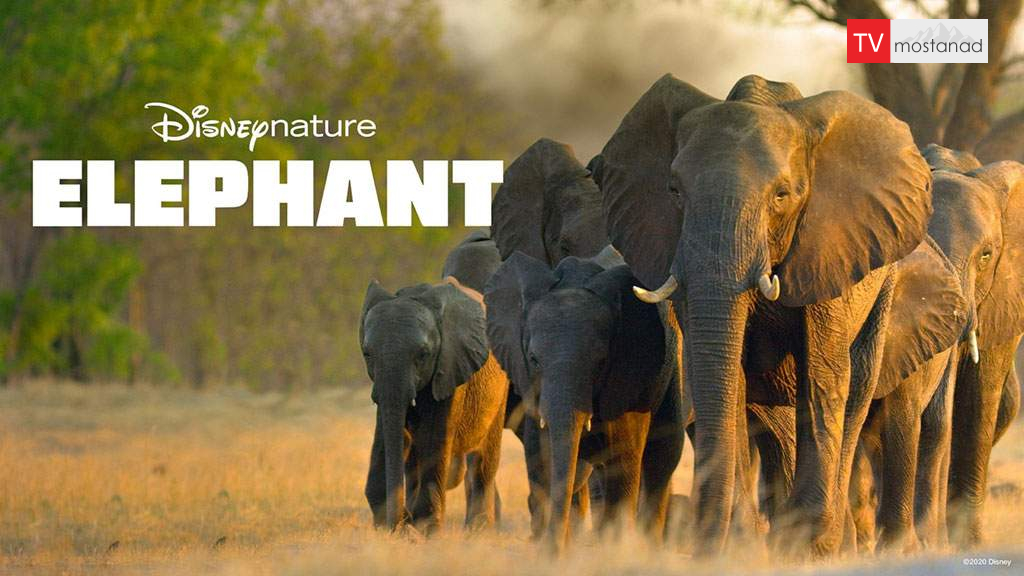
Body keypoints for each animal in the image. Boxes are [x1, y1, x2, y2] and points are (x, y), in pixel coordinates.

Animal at [361, 276, 509, 534]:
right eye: (367, 353)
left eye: (423, 354)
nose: (401, 522)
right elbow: (386, 437)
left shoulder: (450, 366)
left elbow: (433, 438)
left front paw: (425, 528)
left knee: (484, 458)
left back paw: (478, 530)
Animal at [484, 248, 685, 552]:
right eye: (533, 359)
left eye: (601, 362)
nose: (555, 550)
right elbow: (542, 456)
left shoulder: (631, 371)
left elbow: (623, 457)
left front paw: (612, 551)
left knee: (662, 456)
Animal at [596, 73, 934, 555]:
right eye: (674, 191)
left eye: (781, 195)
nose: (702, 541)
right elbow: (724, 375)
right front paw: (742, 546)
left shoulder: (827, 246)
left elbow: (822, 374)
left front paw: (809, 545)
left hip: (884, 282)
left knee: (856, 387)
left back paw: (835, 541)